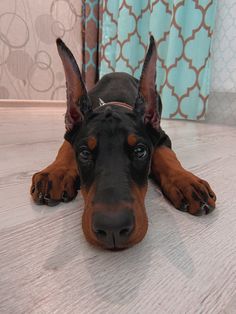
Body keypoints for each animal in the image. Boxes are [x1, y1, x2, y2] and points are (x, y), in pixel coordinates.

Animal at [30, 35, 217, 249]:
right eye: (84, 153)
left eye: (140, 151)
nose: (113, 229)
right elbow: (66, 148)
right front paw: (55, 172)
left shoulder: (161, 135)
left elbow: (166, 156)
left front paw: (186, 182)